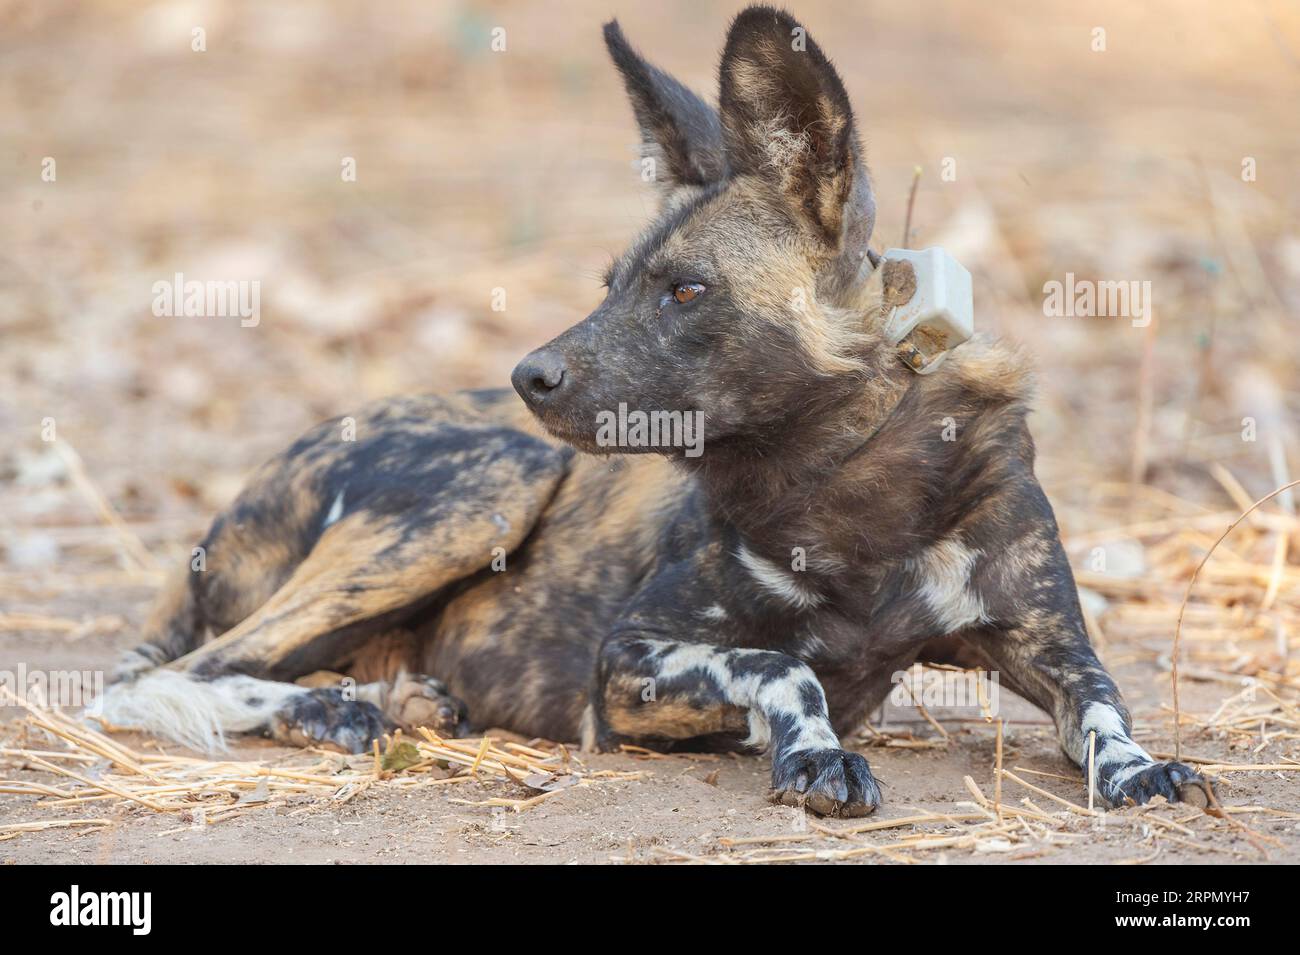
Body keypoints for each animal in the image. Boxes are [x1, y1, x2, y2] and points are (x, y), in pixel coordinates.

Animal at [104, 5, 1206, 815]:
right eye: (611, 283)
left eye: (684, 290)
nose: (529, 375)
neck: (850, 490)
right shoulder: (627, 662)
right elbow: (782, 663)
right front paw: (814, 753)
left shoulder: (1053, 647)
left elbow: (1104, 708)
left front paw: (1138, 768)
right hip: (492, 488)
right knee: (158, 676)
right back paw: (338, 712)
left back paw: (385, 695)